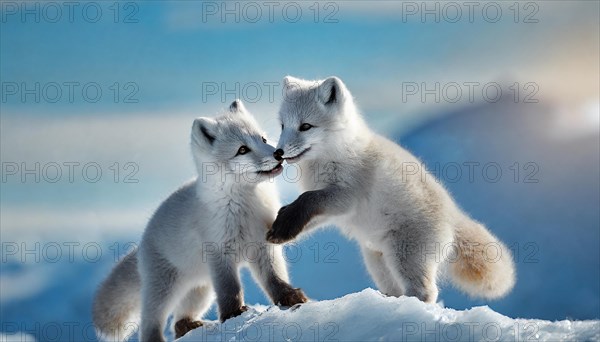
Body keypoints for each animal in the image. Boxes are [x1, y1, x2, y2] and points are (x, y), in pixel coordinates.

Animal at [95, 101, 310, 342]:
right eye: (242, 150)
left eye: (263, 139)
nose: (278, 154)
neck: (244, 205)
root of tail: (141, 244)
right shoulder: (219, 253)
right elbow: (230, 290)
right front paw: (234, 314)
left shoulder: (263, 244)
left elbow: (274, 278)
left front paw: (290, 298)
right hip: (165, 290)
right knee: (151, 323)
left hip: (202, 289)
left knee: (178, 322)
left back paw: (191, 326)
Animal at [268, 77, 516, 302]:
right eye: (282, 125)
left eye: (306, 126)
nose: (278, 152)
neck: (332, 156)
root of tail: (453, 217)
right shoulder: (333, 211)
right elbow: (302, 211)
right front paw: (281, 229)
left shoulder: (345, 196)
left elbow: (306, 199)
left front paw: (282, 227)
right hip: (378, 263)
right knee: (397, 291)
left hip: (404, 257)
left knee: (426, 293)